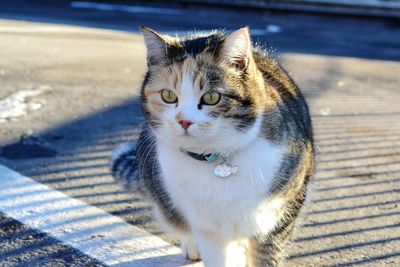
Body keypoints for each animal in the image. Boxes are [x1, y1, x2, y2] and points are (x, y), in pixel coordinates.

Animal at [111, 26, 314, 267]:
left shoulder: (278, 218)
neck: (216, 158)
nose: (184, 121)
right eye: (168, 95)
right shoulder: (206, 226)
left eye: (211, 97)